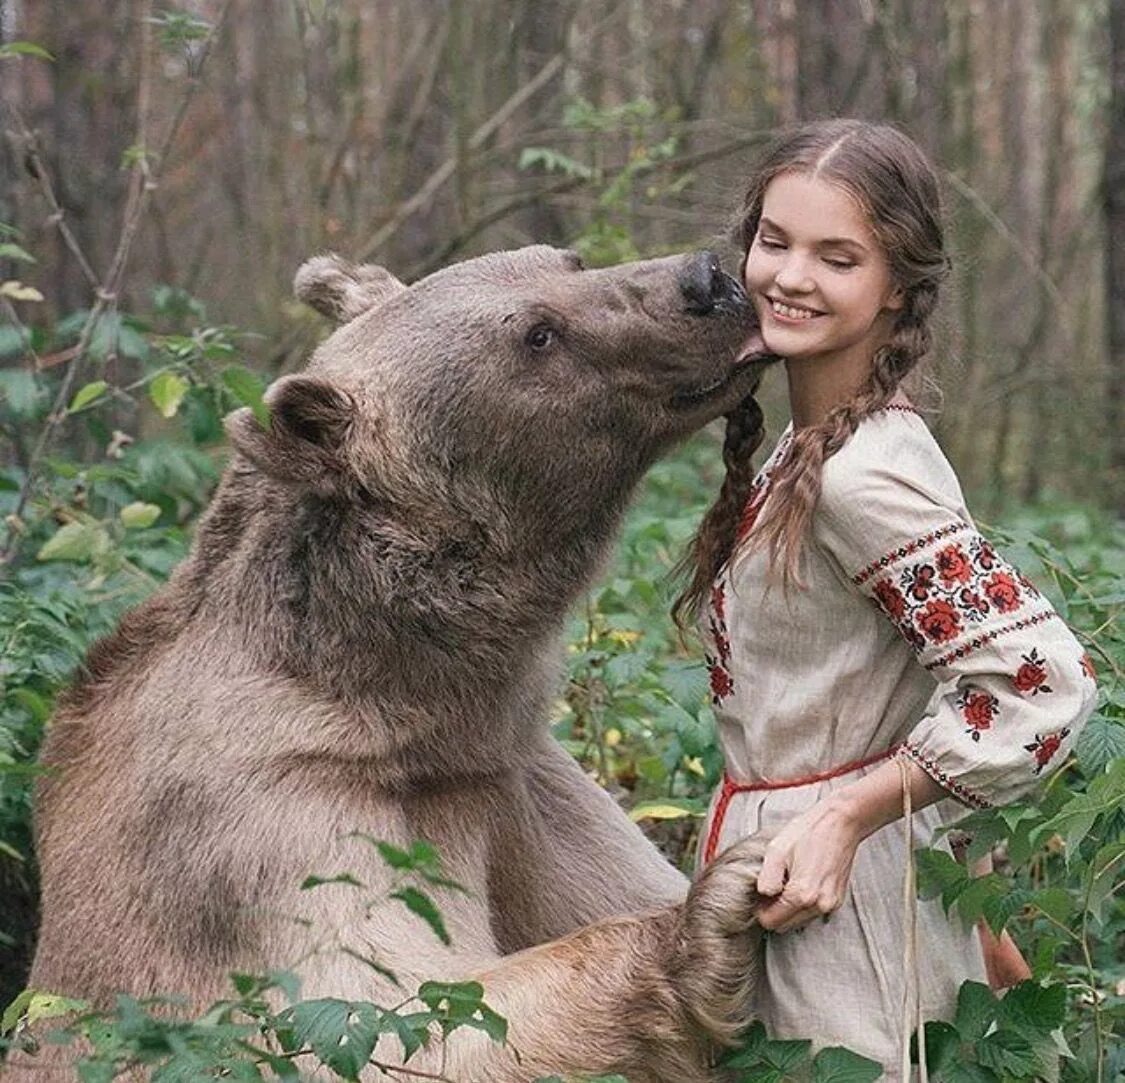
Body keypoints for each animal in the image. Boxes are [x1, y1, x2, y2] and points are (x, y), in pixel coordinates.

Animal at [13, 247, 778, 1083]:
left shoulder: (513, 779)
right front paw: (715, 907)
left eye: (566, 260)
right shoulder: (265, 829)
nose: (705, 280)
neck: (407, 697)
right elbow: (393, 1016)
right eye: (537, 334)